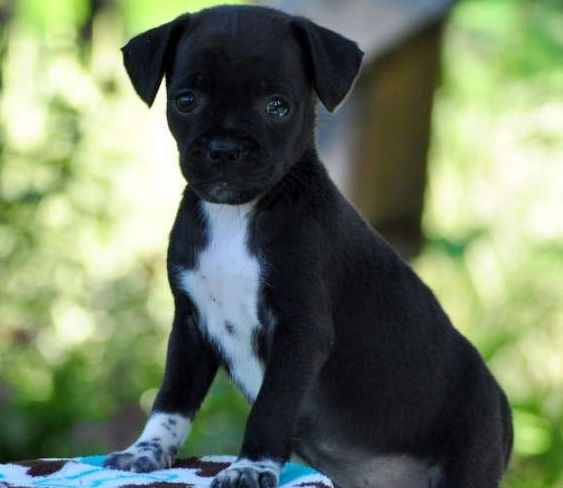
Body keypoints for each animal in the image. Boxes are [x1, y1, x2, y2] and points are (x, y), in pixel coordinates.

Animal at [103, 4, 512, 488]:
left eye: (277, 107)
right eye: (186, 100)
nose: (224, 149)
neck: (237, 217)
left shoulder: (299, 334)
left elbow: (271, 408)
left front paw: (251, 466)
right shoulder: (190, 326)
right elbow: (171, 399)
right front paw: (145, 451)